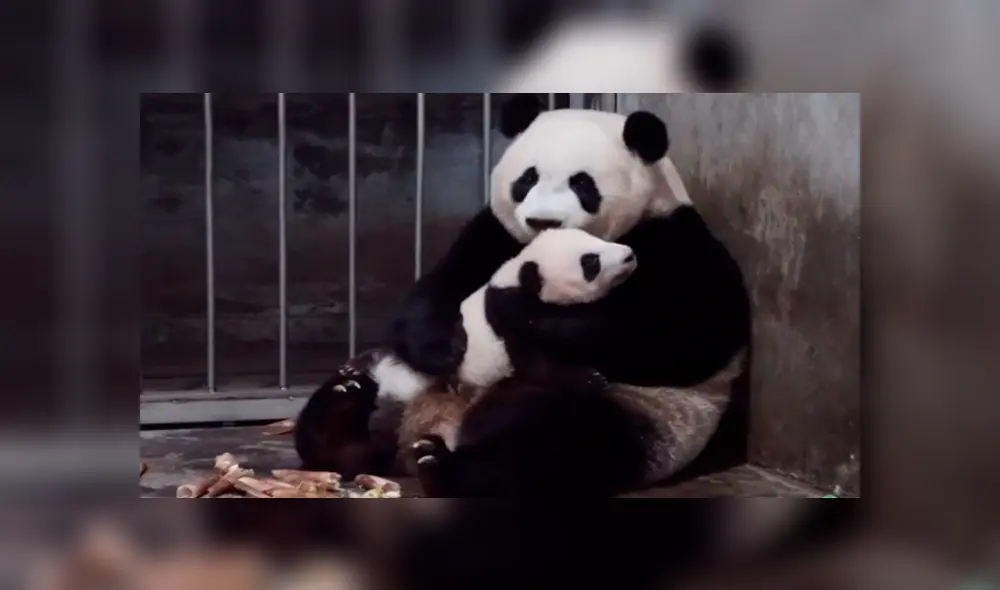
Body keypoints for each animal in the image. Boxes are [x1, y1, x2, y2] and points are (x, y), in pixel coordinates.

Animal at [294, 227, 639, 475]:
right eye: (590, 261)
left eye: (599, 238)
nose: (629, 256)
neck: (516, 280)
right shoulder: (506, 326)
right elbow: (541, 363)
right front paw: (589, 376)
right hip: (390, 374)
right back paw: (346, 392)